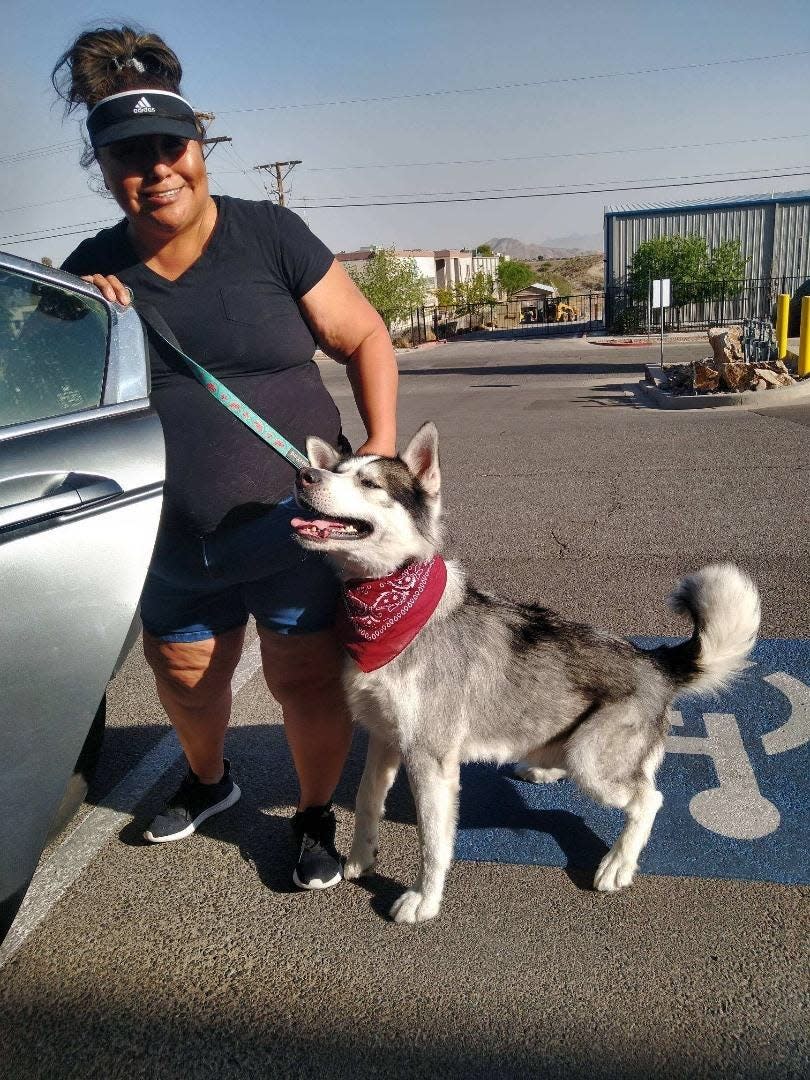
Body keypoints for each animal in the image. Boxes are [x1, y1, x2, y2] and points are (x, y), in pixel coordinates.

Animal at [289, 425, 760, 924]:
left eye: (369, 483)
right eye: (337, 470)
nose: (304, 475)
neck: (385, 608)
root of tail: (655, 661)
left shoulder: (430, 760)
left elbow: (433, 845)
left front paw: (424, 900)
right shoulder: (384, 740)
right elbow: (365, 803)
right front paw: (361, 858)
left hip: (592, 761)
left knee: (649, 799)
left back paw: (618, 863)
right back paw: (542, 766)